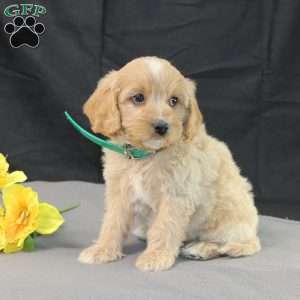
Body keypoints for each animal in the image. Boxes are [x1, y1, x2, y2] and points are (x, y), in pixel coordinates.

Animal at [78, 56, 260, 272]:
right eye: (138, 98)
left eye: (174, 101)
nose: (162, 126)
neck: (145, 156)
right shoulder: (119, 191)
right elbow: (113, 222)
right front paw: (102, 250)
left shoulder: (176, 195)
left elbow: (164, 227)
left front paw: (155, 257)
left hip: (229, 221)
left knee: (242, 244)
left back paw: (201, 249)